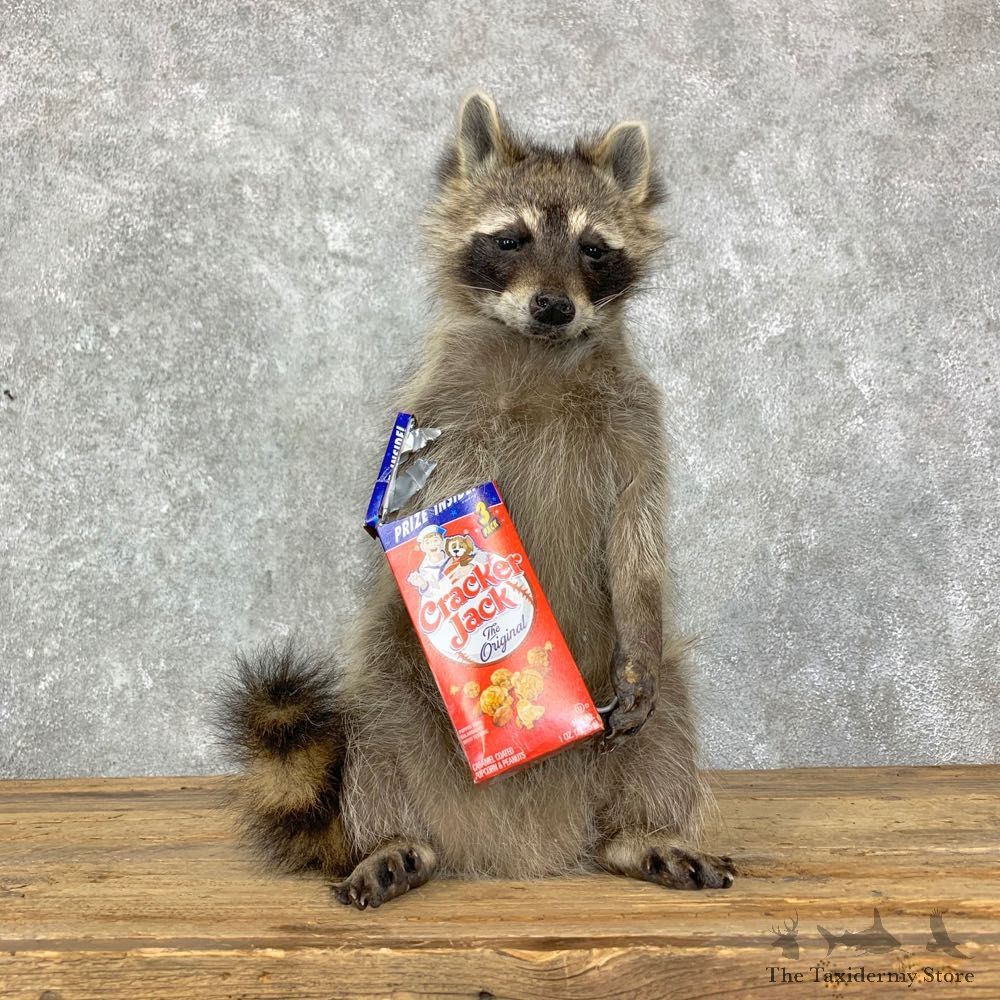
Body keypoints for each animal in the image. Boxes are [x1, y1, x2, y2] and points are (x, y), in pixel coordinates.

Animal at [217, 92, 735, 909]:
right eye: (510, 238)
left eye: (594, 248)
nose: (554, 307)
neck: (543, 350)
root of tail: (512, 851)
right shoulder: (444, 416)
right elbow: (426, 514)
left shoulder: (636, 421)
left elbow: (638, 534)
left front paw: (641, 601)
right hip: (392, 680)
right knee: (375, 727)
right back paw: (394, 839)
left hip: (643, 713)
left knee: (668, 722)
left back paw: (642, 832)